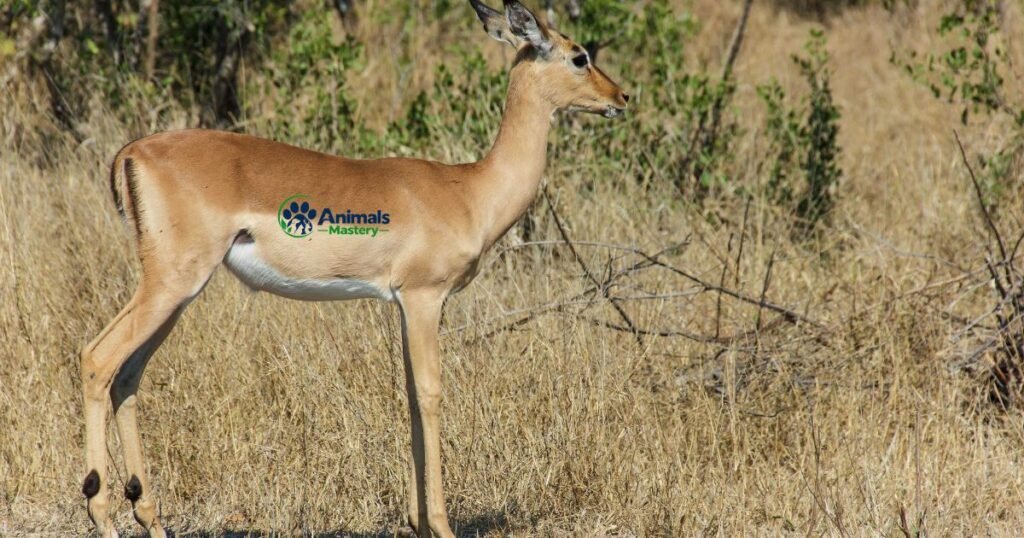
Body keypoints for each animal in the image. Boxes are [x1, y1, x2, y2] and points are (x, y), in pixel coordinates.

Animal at [79, 1, 628, 537]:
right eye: (578, 56)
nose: (621, 96)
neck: (469, 190)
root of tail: (133, 151)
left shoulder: (405, 305)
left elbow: (409, 395)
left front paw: (416, 521)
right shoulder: (424, 298)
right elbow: (430, 393)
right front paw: (440, 523)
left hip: (177, 293)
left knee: (128, 375)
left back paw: (146, 512)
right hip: (172, 283)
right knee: (97, 358)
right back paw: (100, 508)